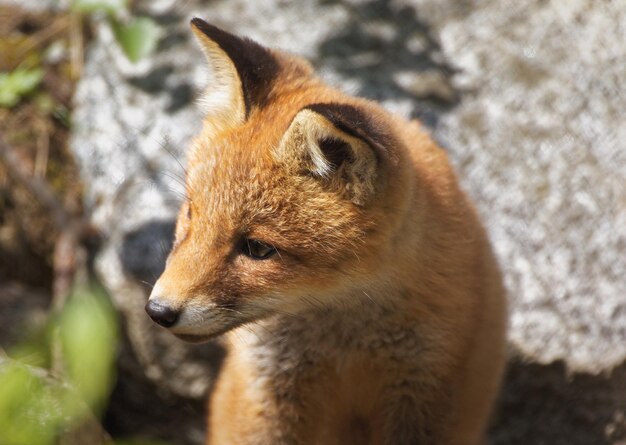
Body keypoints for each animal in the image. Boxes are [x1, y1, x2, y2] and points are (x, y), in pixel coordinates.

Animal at [145, 17, 508, 444]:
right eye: (191, 213)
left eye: (258, 248)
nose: (158, 311)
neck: (344, 338)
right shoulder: (269, 392)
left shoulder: (429, 388)